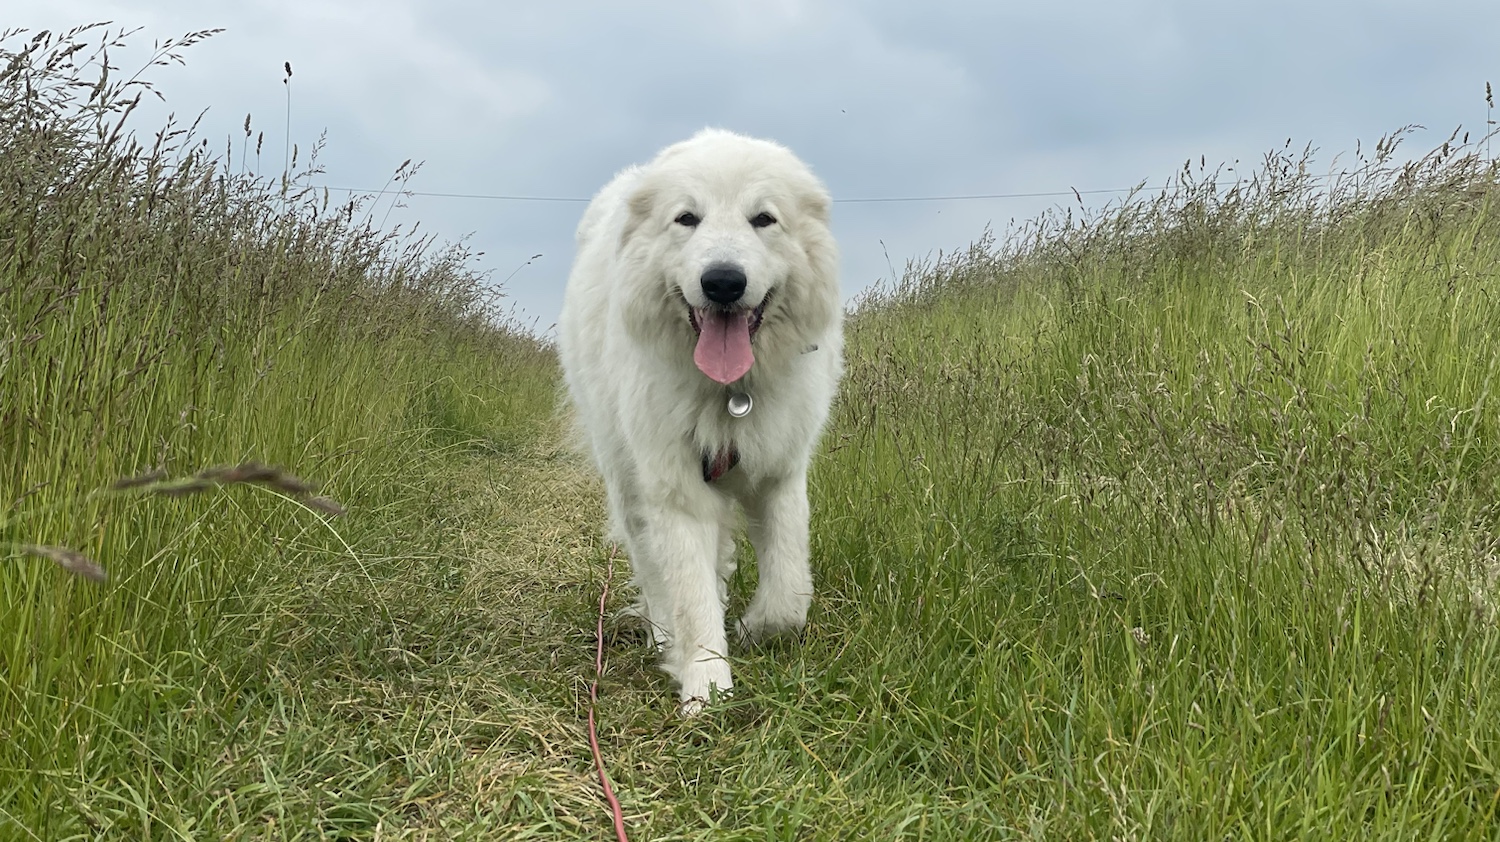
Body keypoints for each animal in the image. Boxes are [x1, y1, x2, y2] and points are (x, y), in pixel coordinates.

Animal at [557, 129, 843, 712]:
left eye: (763, 218)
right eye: (687, 218)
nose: (724, 283)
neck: (731, 394)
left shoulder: (780, 472)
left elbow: (789, 589)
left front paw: (756, 628)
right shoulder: (675, 488)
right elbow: (689, 592)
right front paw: (706, 686)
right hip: (627, 480)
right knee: (655, 570)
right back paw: (664, 633)